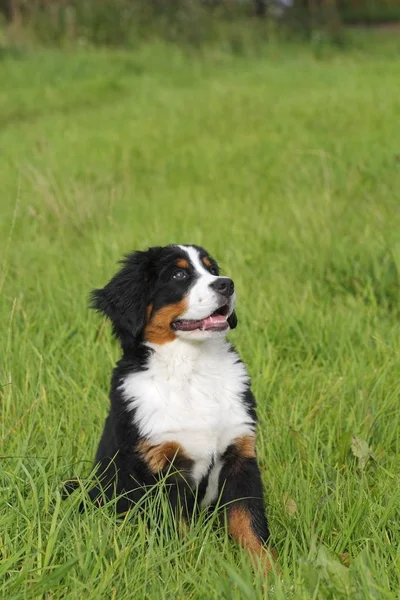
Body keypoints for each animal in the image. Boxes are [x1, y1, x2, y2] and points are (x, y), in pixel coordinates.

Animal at [67, 246, 276, 576]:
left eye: (212, 269)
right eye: (179, 275)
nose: (227, 284)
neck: (192, 369)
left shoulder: (240, 455)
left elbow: (251, 526)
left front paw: (271, 575)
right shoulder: (161, 468)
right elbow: (178, 535)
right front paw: (191, 573)